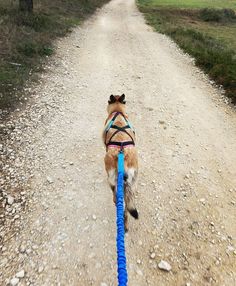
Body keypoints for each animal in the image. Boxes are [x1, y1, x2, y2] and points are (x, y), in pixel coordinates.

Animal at [103, 94, 138, 232]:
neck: (117, 112)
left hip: (111, 179)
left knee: (115, 194)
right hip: (132, 184)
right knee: (127, 209)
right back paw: (126, 225)